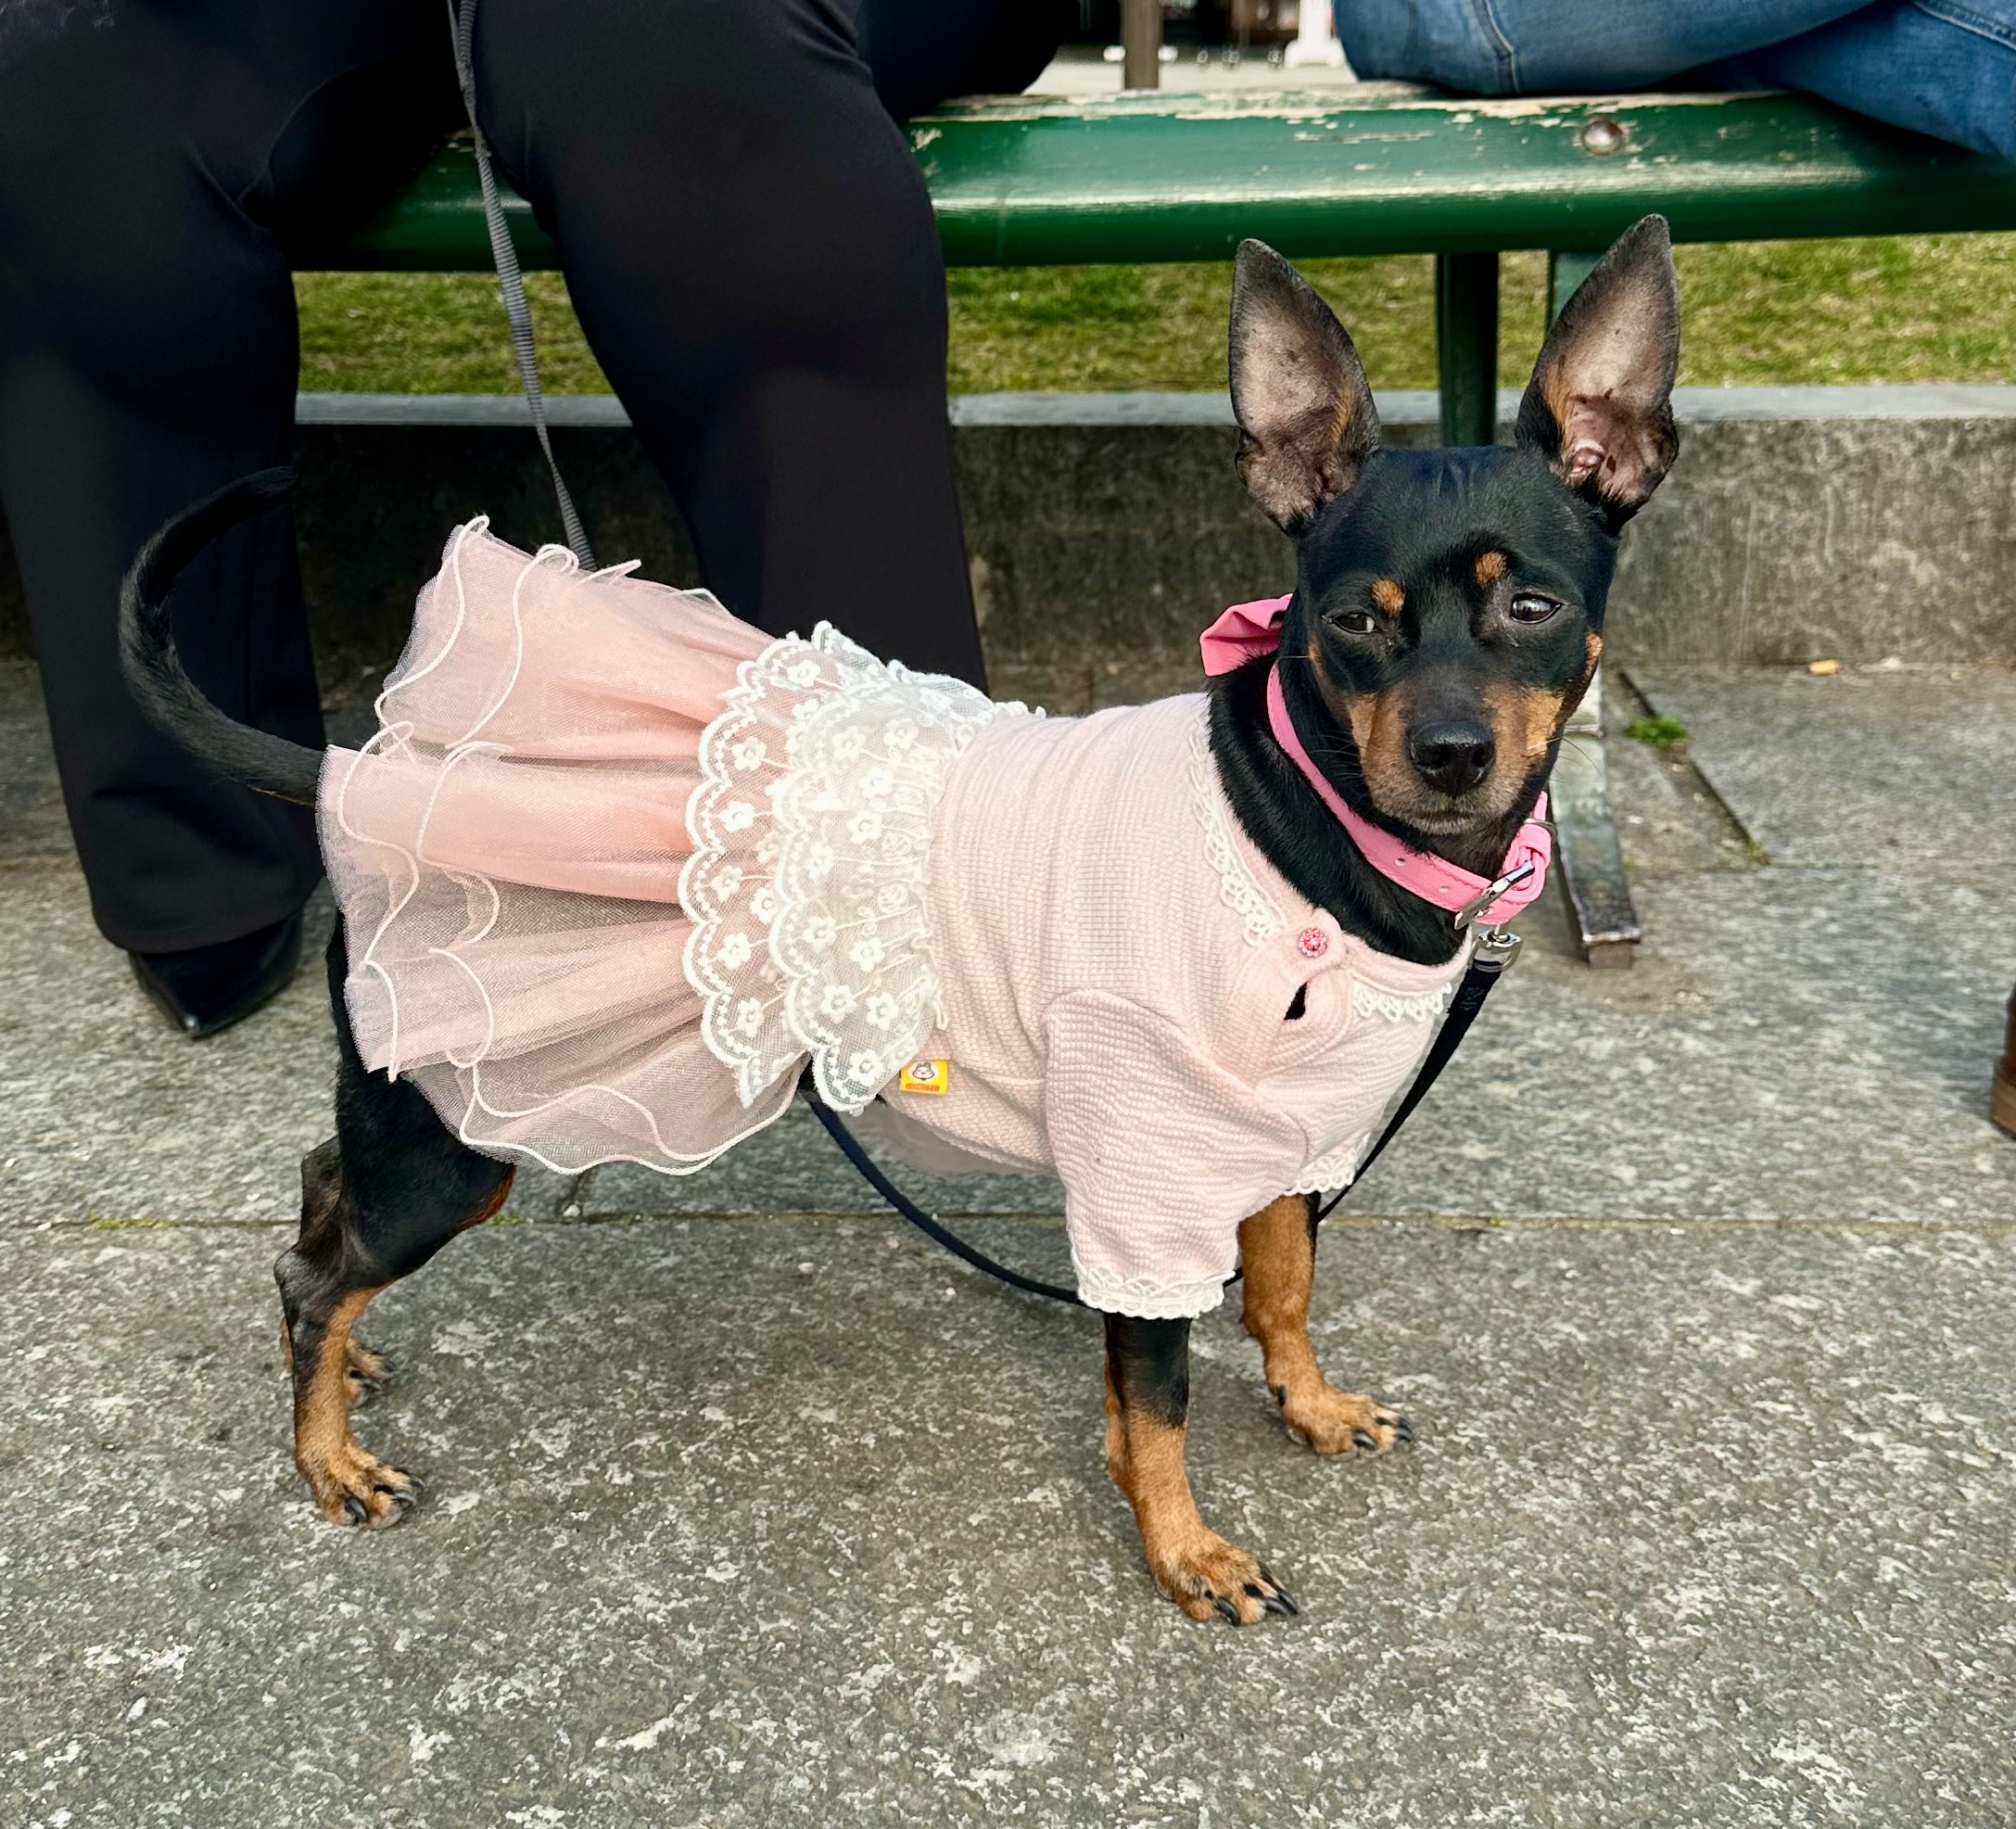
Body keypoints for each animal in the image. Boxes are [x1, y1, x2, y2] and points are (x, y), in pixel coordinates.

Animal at [120, 216, 1678, 1623]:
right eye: (1351, 622)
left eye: (1531, 607)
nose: (1448, 755)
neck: (1305, 822)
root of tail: (374, 769)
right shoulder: (1145, 1175)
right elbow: (1156, 1395)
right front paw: (1182, 1550)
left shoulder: (1282, 1144)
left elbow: (1280, 1295)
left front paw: (1303, 1407)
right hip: (458, 1131)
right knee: (314, 1270)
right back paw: (327, 1449)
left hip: (428, 1101)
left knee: (319, 1190)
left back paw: (347, 1365)